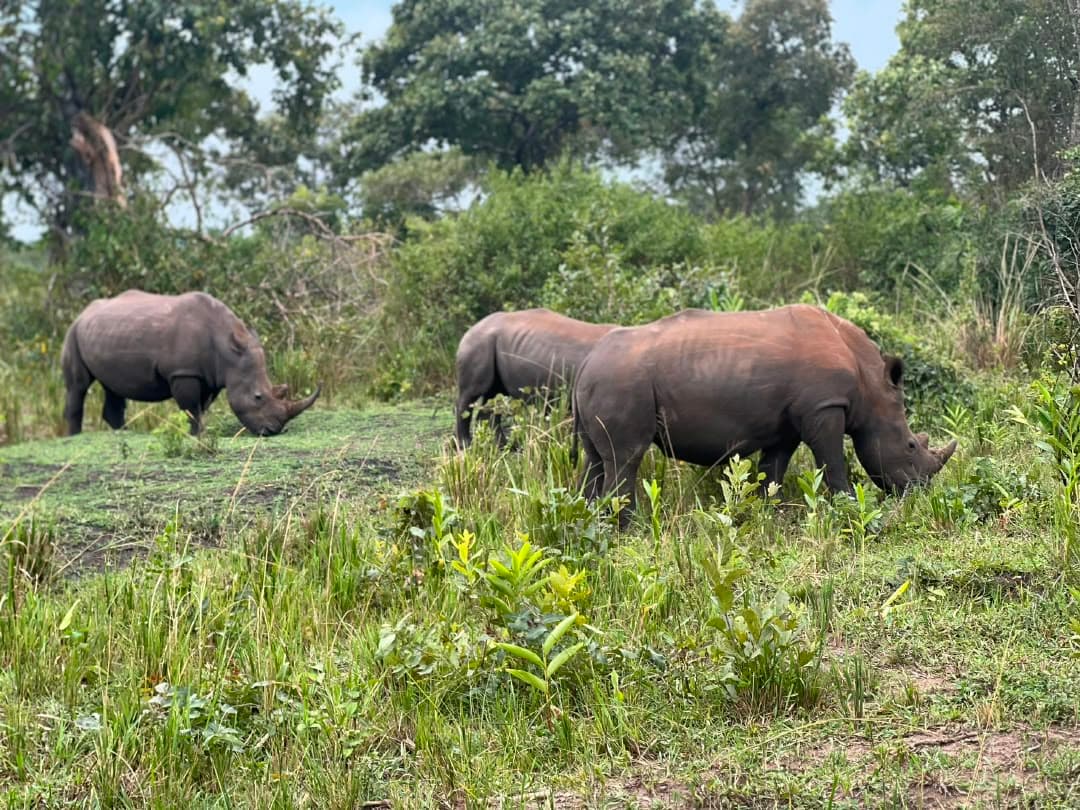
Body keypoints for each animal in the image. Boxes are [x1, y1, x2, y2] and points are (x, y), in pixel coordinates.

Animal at [61, 290, 320, 436]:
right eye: (258, 397)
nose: (273, 431)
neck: (227, 349)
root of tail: (83, 313)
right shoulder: (184, 372)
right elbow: (191, 407)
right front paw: (198, 436)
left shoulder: (212, 375)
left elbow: (201, 407)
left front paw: (199, 432)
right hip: (73, 333)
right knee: (78, 386)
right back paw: (74, 436)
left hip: (104, 332)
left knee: (113, 388)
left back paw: (124, 433)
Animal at [455, 309, 617, 447]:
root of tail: (471, 328)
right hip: (478, 343)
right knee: (471, 393)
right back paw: (465, 445)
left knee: (494, 396)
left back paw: (504, 446)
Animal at [573, 304, 956, 522]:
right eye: (910, 446)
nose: (921, 492)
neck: (870, 383)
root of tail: (587, 362)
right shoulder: (824, 406)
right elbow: (832, 463)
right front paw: (851, 509)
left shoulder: (787, 425)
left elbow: (773, 471)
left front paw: (767, 516)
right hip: (621, 381)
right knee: (626, 457)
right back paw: (631, 529)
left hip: (603, 381)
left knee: (596, 459)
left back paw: (592, 523)